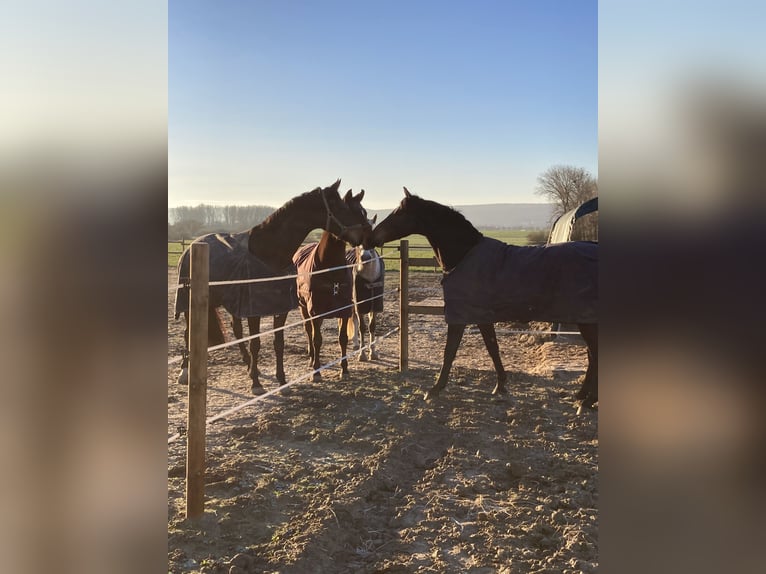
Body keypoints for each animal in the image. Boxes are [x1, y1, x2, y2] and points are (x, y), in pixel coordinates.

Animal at [178, 181, 376, 396]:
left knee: (236, 330)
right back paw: (185, 373)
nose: (367, 238)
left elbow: (278, 344)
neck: (269, 252)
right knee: (188, 334)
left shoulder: (280, 309)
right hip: (189, 305)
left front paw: (281, 381)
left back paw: (249, 365)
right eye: (343, 208)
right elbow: (256, 343)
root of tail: (193, 246)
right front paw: (256, 384)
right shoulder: (254, 309)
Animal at [366, 191, 600, 412]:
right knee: (591, 356)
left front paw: (434, 389)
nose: (371, 237)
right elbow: (492, 348)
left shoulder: (460, 317)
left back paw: (588, 401)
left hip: (587, 321)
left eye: (399, 212)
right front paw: (501, 385)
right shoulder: (482, 317)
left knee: (595, 355)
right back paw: (581, 396)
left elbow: (449, 352)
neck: (464, 254)